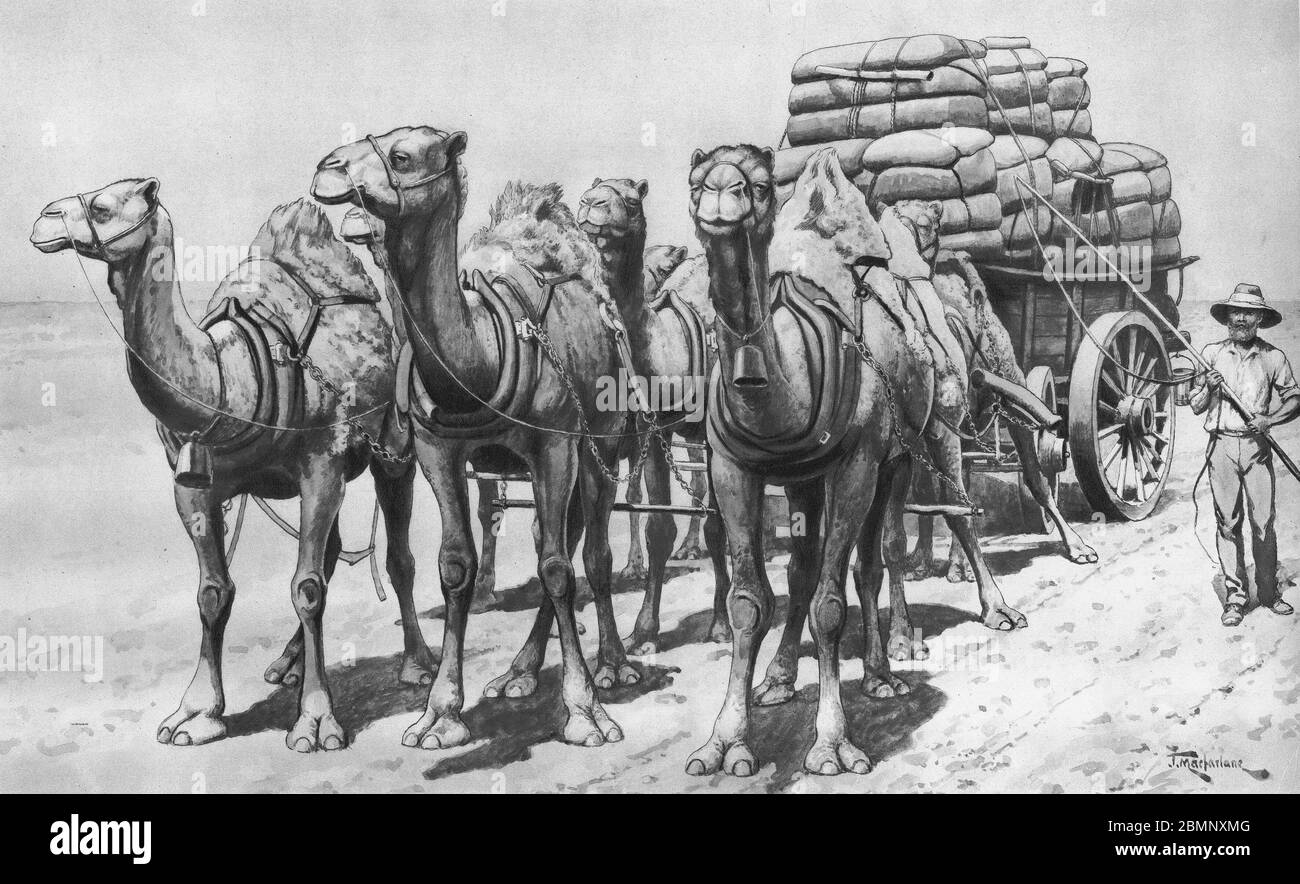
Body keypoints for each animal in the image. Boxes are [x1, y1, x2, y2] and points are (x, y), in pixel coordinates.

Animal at [29, 178, 431, 754]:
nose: (44, 218)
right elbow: (214, 592)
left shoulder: (323, 462)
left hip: (392, 450)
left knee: (397, 555)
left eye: (103, 207)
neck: (226, 376)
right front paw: (196, 714)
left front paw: (315, 722)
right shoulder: (193, 484)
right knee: (331, 551)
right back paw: (287, 665)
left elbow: (307, 588)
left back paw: (416, 666)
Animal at [314, 126, 639, 743]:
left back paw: (613, 666)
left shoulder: (554, 444)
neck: (481, 360)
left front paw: (585, 712)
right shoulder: (436, 450)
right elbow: (456, 566)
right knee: (561, 539)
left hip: (602, 441)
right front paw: (439, 714)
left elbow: (558, 569)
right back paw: (520, 673)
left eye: (401, 156)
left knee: (592, 552)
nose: (328, 168)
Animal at [691, 143, 946, 774]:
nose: (721, 192)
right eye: (696, 180)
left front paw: (831, 746)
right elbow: (749, 601)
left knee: (879, 556)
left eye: (758, 184)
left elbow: (831, 606)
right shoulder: (730, 467)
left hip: (897, 459)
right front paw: (725, 743)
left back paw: (882, 674)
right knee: (804, 568)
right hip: (801, 477)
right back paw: (779, 679)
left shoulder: (858, 463)